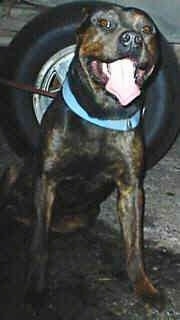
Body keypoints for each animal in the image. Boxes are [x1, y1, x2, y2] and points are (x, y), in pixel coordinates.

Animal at [14, 4, 162, 304]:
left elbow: (134, 245)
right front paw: (35, 286)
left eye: (147, 29)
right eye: (104, 23)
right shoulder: (47, 180)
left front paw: (143, 285)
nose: (133, 39)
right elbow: (39, 242)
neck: (102, 113)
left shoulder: (131, 189)